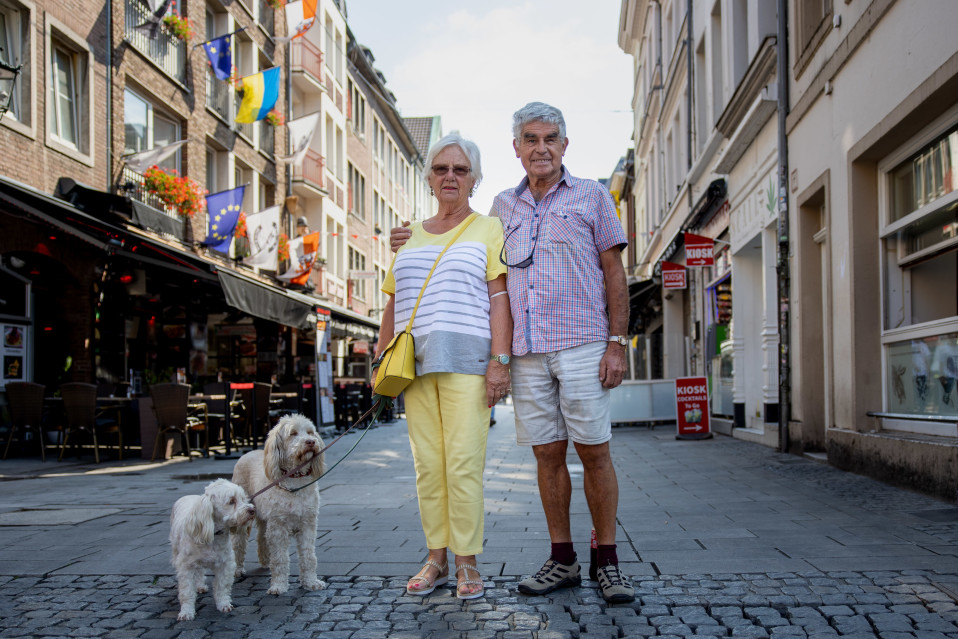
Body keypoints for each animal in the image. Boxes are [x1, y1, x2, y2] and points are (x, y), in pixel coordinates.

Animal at [169, 480, 253, 620]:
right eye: (231, 501)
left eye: (243, 498)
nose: (252, 510)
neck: (214, 533)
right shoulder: (186, 566)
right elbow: (187, 591)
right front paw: (186, 612)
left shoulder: (225, 564)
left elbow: (222, 587)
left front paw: (224, 605)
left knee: (200, 572)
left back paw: (200, 586)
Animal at [231, 412, 328, 596]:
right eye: (293, 433)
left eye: (310, 432)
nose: (311, 442)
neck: (295, 480)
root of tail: (247, 453)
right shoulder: (278, 528)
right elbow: (280, 559)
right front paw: (279, 586)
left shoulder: (307, 525)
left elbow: (308, 556)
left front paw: (310, 582)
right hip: (243, 518)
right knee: (239, 543)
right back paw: (237, 569)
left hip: (264, 518)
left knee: (261, 537)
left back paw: (265, 560)